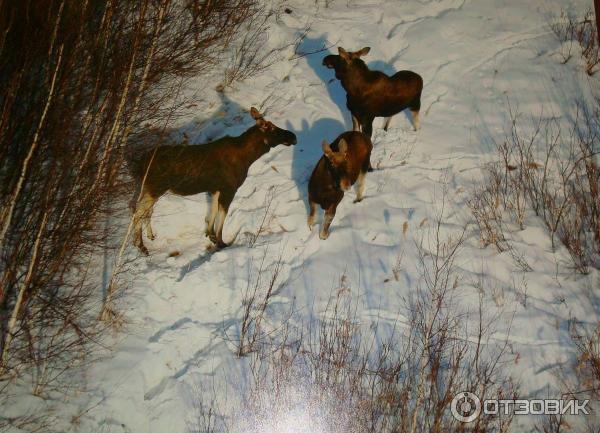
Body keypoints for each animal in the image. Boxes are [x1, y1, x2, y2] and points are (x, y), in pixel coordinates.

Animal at [129, 106, 296, 253]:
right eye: (271, 128)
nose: (293, 136)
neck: (249, 158)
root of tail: (140, 162)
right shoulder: (229, 188)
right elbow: (222, 217)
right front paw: (221, 243)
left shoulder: (216, 188)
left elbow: (213, 213)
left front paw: (211, 236)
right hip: (155, 188)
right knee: (138, 212)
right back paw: (141, 246)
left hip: (150, 189)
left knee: (146, 211)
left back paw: (150, 236)